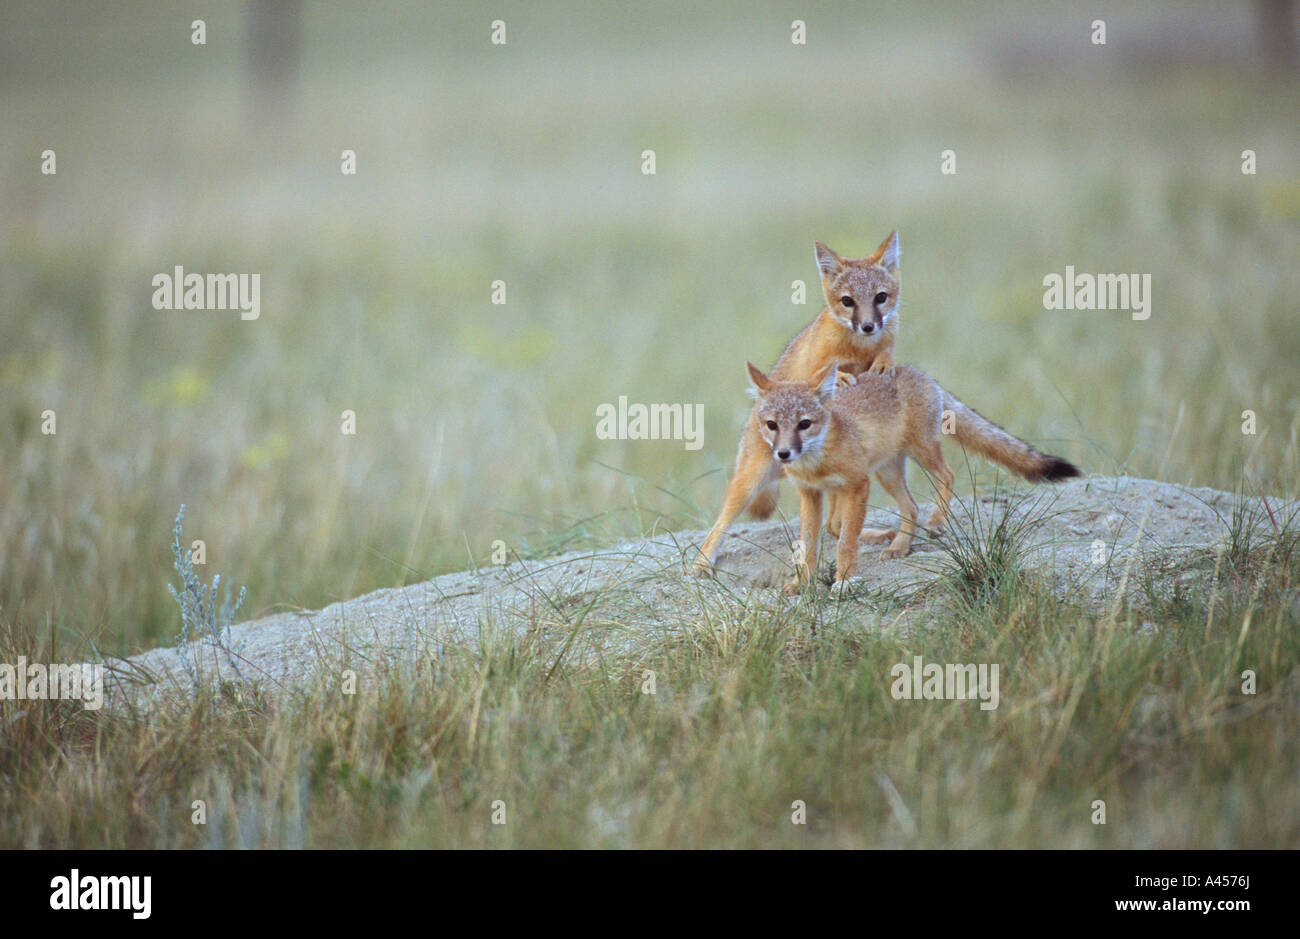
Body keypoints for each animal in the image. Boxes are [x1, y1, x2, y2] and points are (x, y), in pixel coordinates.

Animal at [694, 230, 903, 574]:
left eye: (880, 297)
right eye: (848, 301)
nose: (868, 326)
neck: (859, 348)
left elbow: (885, 355)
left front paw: (883, 362)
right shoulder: (811, 369)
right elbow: (824, 374)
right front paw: (840, 377)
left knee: (834, 525)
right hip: (748, 483)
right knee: (719, 526)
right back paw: (701, 562)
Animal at [744, 360, 1080, 595]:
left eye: (804, 424)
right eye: (772, 425)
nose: (783, 454)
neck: (816, 464)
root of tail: (917, 371)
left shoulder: (858, 485)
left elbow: (845, 543)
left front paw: (844, 579)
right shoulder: (811, 494)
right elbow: (809, 546)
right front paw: (801, 583)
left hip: (920, 453)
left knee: (947, 475)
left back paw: (935, 522)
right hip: (888, 472)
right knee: (911, 506)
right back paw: (900, 545)